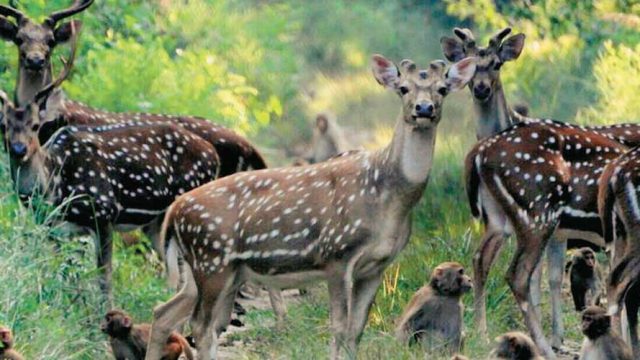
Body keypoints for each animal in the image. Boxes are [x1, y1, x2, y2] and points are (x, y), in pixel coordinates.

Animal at [0, 31, 221, 304]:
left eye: (35, 125)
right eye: (3, 125)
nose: (19, 149)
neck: (56, 187)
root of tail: (213, 154)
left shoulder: (104, 211)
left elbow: (104, 279)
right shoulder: (53, 229)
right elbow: (64, 275)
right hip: (155, 222)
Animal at [144, 54, 476, 360]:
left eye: (443, 89)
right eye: (403, 88)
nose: (424, 109)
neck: (389, 199)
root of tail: (174, 213)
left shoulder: (377, 265)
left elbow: (356, 330)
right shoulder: (338, 254)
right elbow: (339, 328)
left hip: (207, 270)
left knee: (165, 313)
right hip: (212, 260)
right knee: (201, 325)